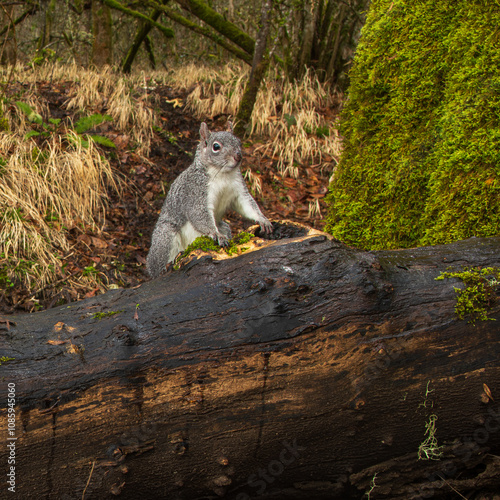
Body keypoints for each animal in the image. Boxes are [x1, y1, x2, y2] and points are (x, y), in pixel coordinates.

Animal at [146, 121, 274, 278]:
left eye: (239, 142)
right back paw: (162, 269)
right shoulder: (195, 192)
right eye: (216, 147)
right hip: (166, 237)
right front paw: (216, 234)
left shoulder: (239, 190)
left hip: (224, 226)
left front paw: (263, 219)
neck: (223, 174)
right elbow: (199, 214)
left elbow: (247, 205)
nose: (238, 156)